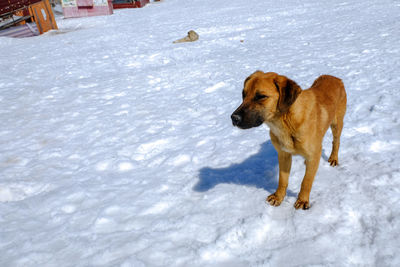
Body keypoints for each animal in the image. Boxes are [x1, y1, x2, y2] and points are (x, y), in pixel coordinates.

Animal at [231, 72, 346, 210]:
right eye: (243, 94)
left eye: (261, 96)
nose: (234, 118)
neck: (286, 122)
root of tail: (334, 77)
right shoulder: (283, 154)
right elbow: (283, 179)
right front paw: (278, 197)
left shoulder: (313, 153)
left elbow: (306, 181)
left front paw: (302, 200)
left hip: (337, 124)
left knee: (336, 142)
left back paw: (333, 158)